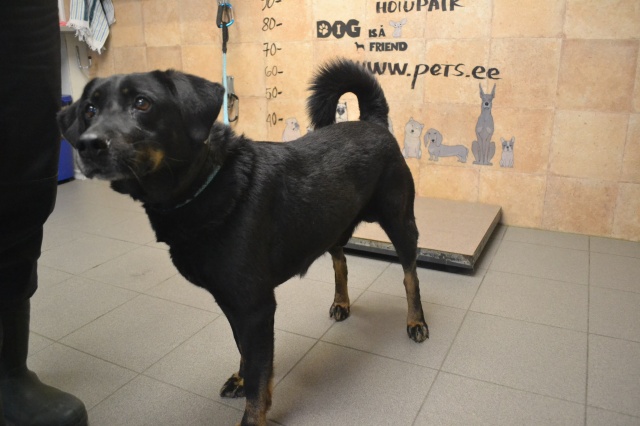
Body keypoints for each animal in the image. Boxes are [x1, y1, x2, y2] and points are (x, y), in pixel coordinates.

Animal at [57, 59, 429, 426]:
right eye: (89, 109)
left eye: (142, 103)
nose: (88, 145)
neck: (205, 184)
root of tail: (372, 121)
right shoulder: (232, 302)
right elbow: (246, 354)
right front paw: (240, 377)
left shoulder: (255, 306)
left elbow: (258, 374)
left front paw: (252, 415)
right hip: (331, 222)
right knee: (341, 260)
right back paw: (342, 302)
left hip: (400, 222)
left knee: (410, 275)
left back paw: (416, 322)